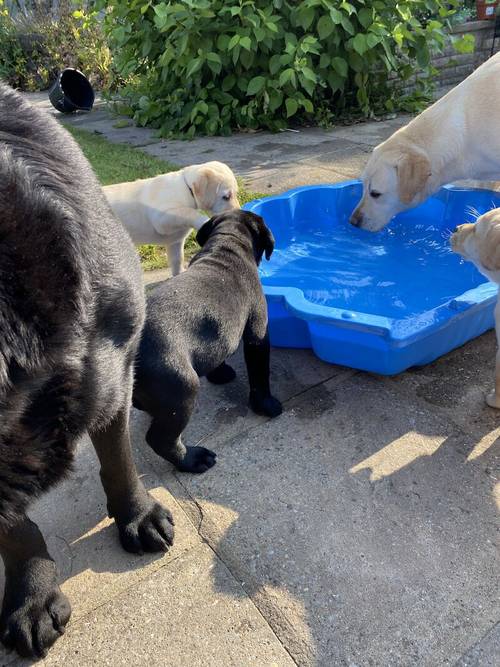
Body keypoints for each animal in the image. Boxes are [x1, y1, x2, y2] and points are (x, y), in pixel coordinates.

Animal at [102, 161, 239, 274]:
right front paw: (205, 221)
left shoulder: (175, 242)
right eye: (226, 197)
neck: (186, 188)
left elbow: (177, 260)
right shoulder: (161, 219)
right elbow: (188, 212)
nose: (238, 211)